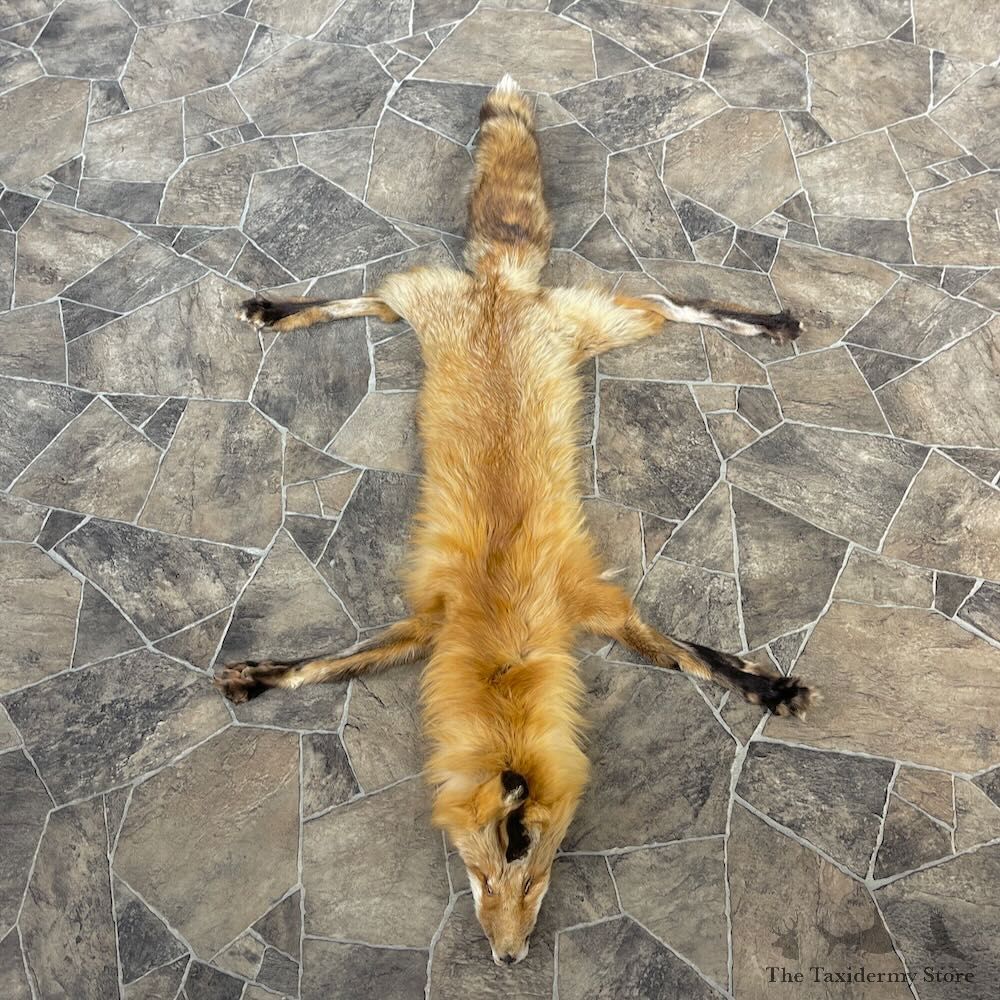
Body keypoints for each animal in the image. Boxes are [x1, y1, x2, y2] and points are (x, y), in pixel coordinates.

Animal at [215, 74, 813, 966]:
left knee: (668, 302)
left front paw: (765, 686)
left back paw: (765, 320)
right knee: (373, 296)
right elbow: (327, 666)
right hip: (442, 311)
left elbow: (691, 657)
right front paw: (260, 677)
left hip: (591, 324)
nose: (508, 958)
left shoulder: (589, 603)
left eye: (534, 881)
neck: (503, 635)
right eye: (481, 875)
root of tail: (500, 288)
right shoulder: (434, 621)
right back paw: (278, 307)